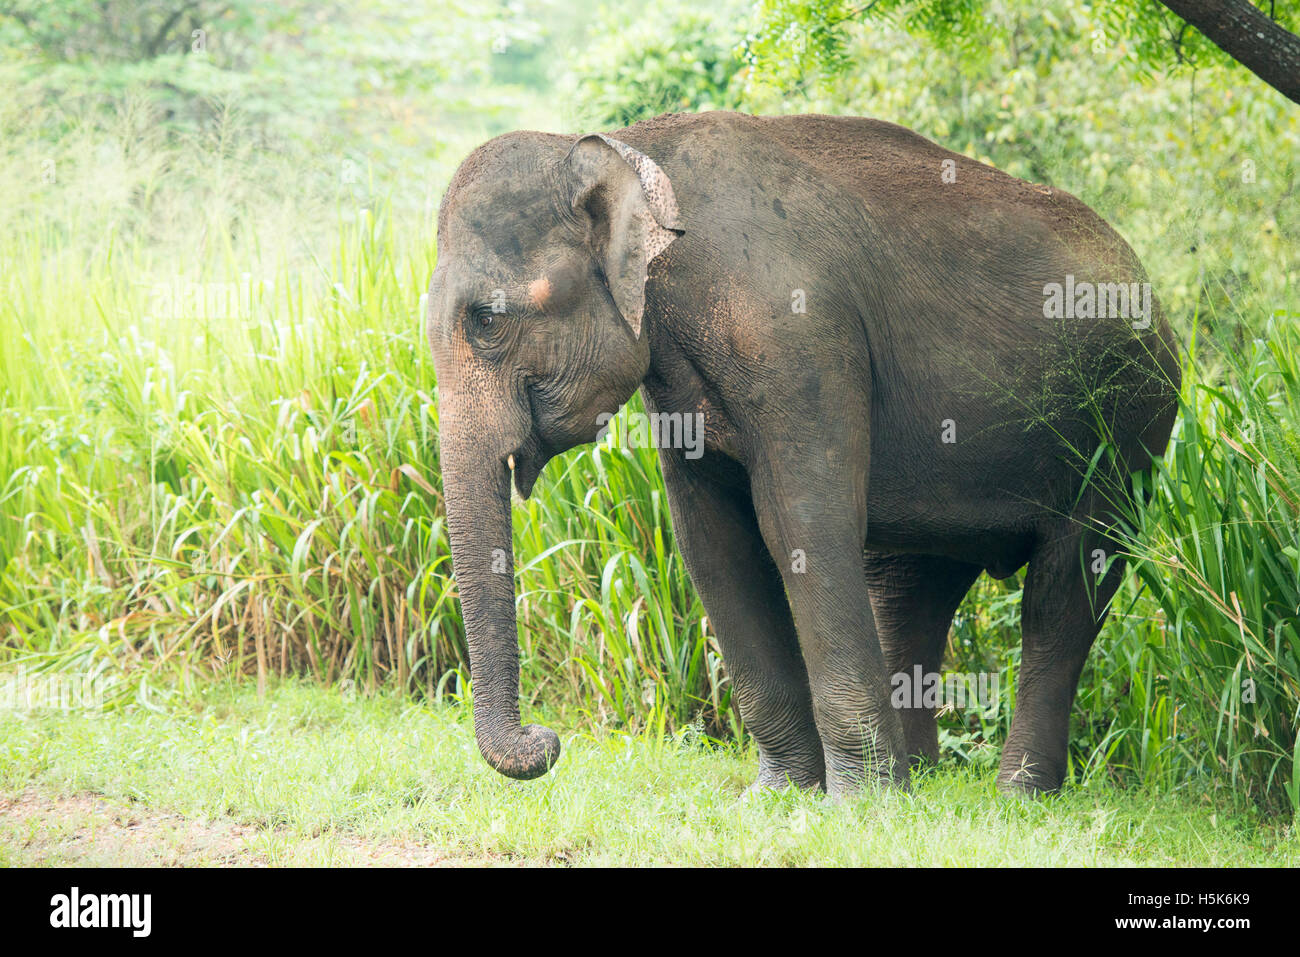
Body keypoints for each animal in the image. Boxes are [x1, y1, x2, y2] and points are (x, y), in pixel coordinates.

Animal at [424, 111, 1180, 798]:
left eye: (486, 319)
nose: (546, 740)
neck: (629, 142)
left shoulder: (801, 336)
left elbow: (803, 523)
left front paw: (861, 809)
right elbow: (712, 542)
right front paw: (780, 795)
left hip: (1129, 425)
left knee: (1066, 590)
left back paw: (1015, 795)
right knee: (912, 590)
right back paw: (924, 783)